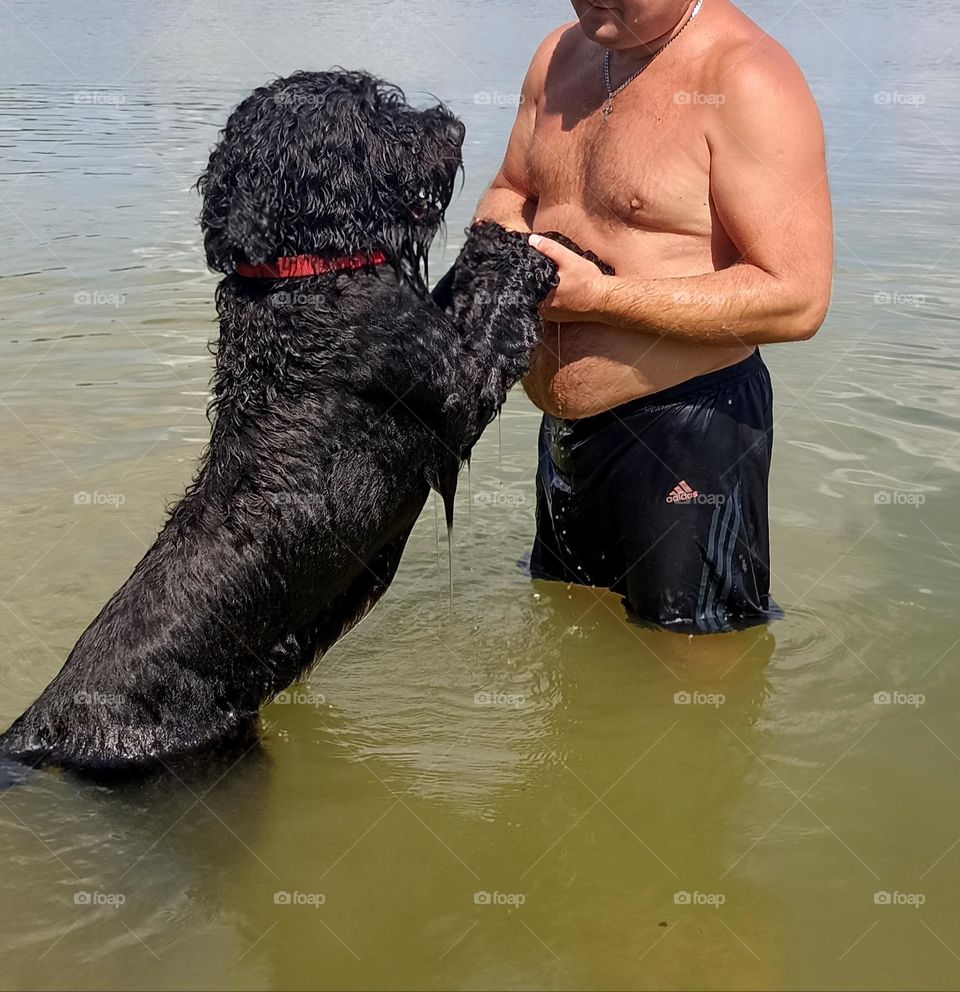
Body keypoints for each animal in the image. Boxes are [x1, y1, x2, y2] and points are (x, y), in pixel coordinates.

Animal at [0, 71, 564, 784]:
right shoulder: (455, 385)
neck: (301, 276)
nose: (455, 128)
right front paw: (510, 254)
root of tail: (35, 736)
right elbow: (489, 327)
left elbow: (454, 292)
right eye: (371, 111)